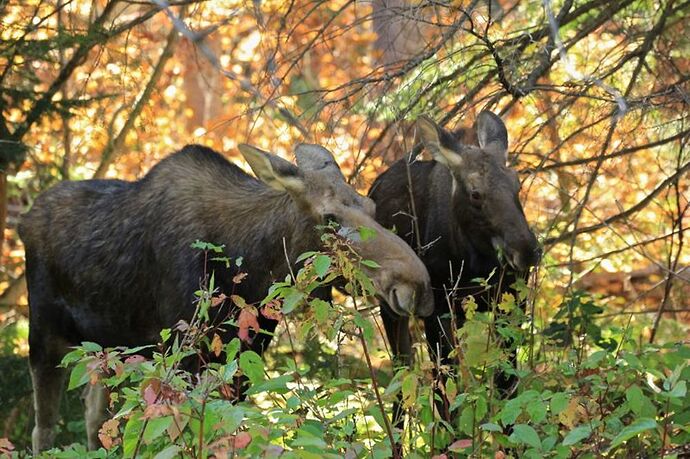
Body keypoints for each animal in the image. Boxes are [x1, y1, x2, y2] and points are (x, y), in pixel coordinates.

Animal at [21, 143, 432, 452]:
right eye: (330, 217)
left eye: (372, 208)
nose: (418, 286)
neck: (255, 264)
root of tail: (26, 216)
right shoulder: (182, 354)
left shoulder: (240, 359)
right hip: (45, 336)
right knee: (43, 429)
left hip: (105, 350)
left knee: (95, 418)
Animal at [368, 111, 540, 428]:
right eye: (475, 193)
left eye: (517, 183)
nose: (526, 250)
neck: (475, 262)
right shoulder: (437, 309)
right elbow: (444, 389)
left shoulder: (510, 302)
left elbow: (507, 381)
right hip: (391, 305)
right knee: (402, 370)